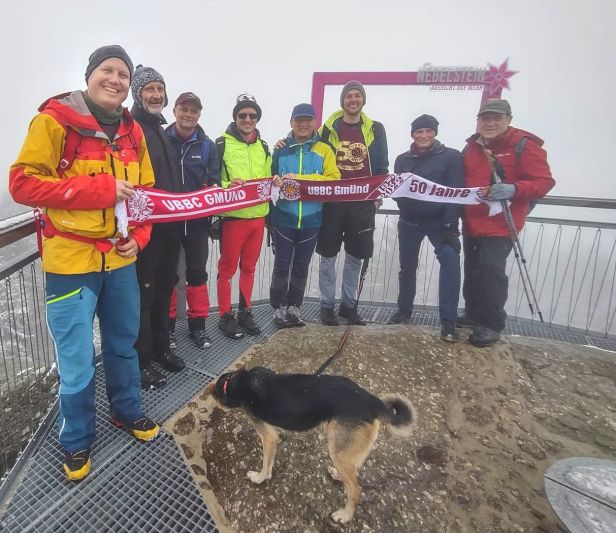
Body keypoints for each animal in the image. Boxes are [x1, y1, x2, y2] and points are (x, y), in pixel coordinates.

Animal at [205, 364, 416, 520]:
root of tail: (374, 402)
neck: (238, 381)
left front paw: (259, 477)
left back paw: (345, 515)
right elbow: (270, 461)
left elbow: (265, 463)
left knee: (356, 491)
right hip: (343, 450)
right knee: (353, 470)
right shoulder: (273, 436)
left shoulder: (268, 435)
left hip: (337, 450)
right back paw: (338, 475)